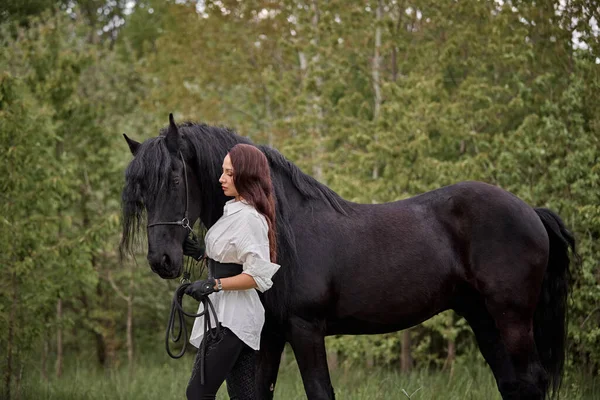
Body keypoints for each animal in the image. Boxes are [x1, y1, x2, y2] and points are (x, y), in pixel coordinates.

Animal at [119, 114, 576, 398]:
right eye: (140, 191)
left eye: (175, 177)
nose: (162, 260)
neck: (281, 228)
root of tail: (530, 211)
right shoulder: (271, 334)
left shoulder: (305, 329)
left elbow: (320, 392)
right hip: (482, 316)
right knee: (512, 384)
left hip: (511, 316)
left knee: (530, 380)